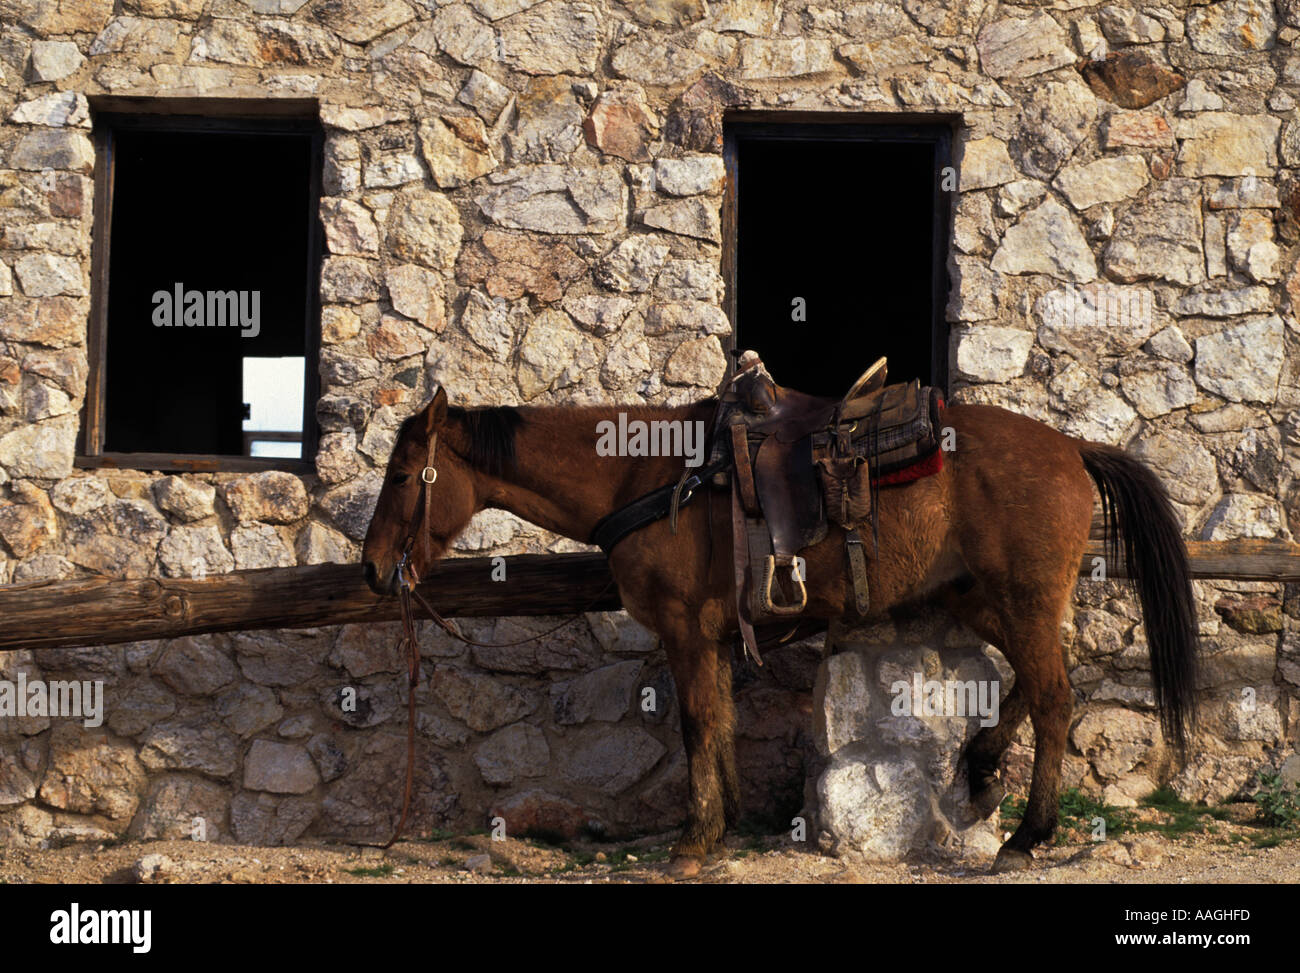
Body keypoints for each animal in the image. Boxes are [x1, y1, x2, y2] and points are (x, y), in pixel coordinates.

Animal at [361, 384, 1197, 877]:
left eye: (402, 476)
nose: (372, 568)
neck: (654, 479)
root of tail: (1073, 449)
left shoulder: (684, 632)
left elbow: (697, 725)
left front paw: (693, 840)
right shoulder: (714, 637)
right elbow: (722, 722)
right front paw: (723, 826)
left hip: (1021, 599)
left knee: (1056, 698)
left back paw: (1028, 834)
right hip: (984, 597)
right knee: (1043, 681)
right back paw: (986, 763)